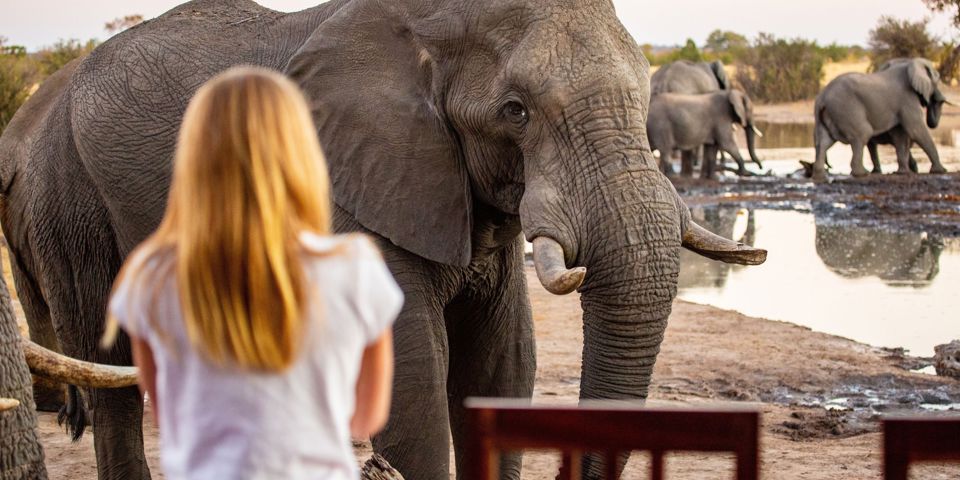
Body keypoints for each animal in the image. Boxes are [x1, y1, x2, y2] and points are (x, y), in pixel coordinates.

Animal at [0, 0, 767, 479]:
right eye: (515, 111)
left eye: (644, 94)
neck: (426, 27)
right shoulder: (352, 184)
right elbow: (416, 389)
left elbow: (498, 368)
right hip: (68, 195)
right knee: (108, 364)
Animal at [813, 57, 948, 181]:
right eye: (938, 79)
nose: (936, 100)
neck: (909, 64)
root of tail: (823, 96)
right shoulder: (906, 99)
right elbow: (916, 130)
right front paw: (941, 170)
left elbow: (899, 135)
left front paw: (902, 173)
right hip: (846, 109)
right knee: (863, 133)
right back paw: (863, 173)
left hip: (829, 113)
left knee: (824, 141)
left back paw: (820, 177)